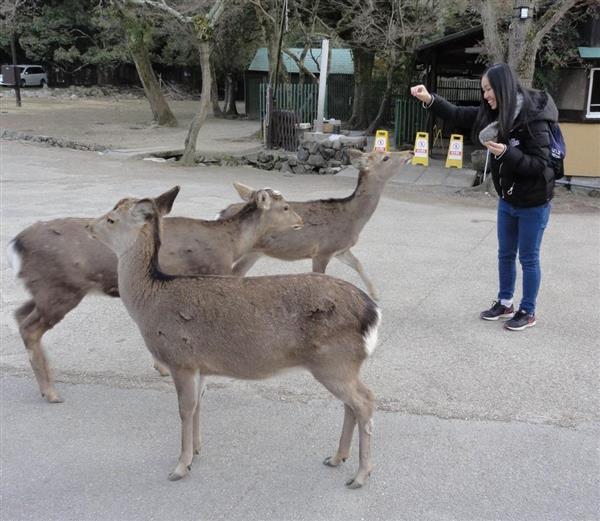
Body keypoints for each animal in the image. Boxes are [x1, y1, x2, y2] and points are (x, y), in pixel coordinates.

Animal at [7, 185, 302, 404]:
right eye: (286, 207)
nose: (300, 221)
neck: (232, 245)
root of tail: (17, 243)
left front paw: (162, 365)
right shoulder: (211, 273)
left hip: (44, 288)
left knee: (19, 314)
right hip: (61, 289)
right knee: (30, 327)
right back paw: (51, 392)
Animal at [87, 187, 382, 488]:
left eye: (111, 219)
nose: (88, 226)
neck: (148, 303)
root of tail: (372, 312)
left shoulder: (180, 358)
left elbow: (185, 408)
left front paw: (180, 466)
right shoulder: (201, 364)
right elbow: (199, 403)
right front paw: (196, 450)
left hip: (334, 362)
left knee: (365, 400)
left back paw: (360, 474)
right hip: (342, 365)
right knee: (351, 404)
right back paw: (336, 458)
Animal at [218, 148, 414, 298]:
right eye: (386, 157)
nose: (410, 151)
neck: (352, 219)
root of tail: (221, 214)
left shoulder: (340, 249)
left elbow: (358, 264)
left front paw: (375, 295)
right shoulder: (323, 250)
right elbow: (320, 276)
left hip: (255, 252)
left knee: (237, 273)